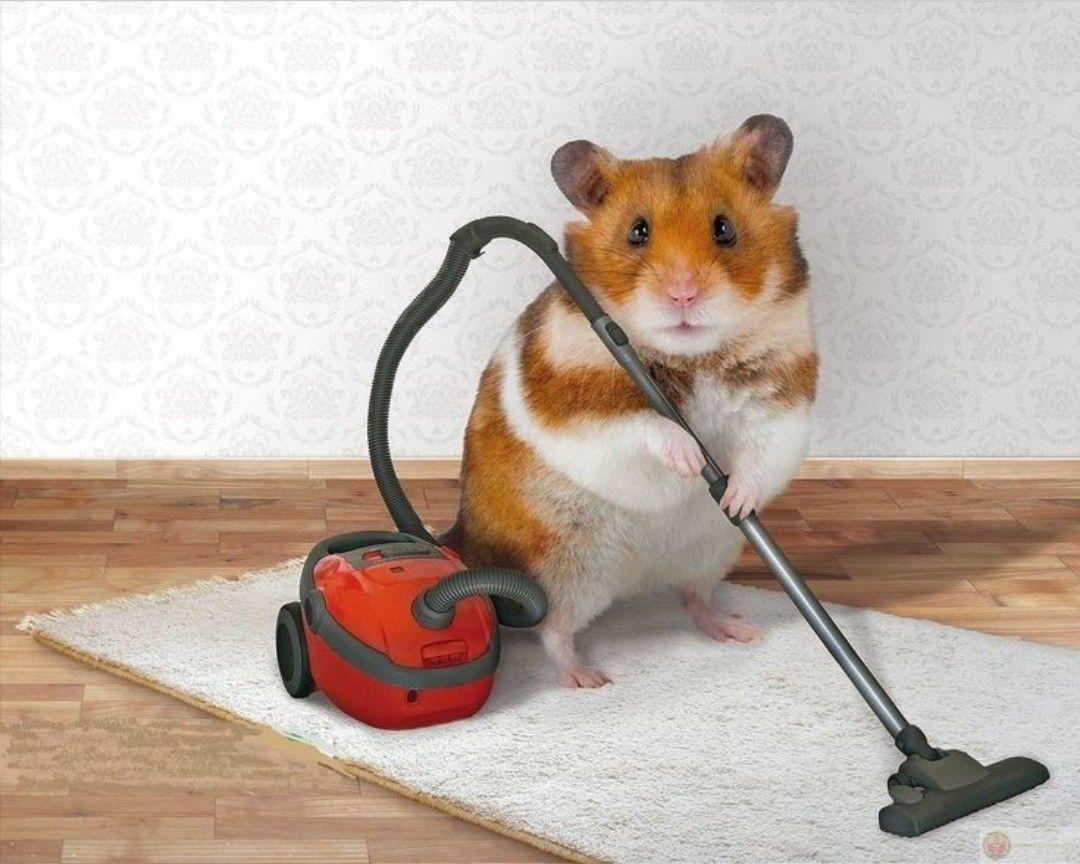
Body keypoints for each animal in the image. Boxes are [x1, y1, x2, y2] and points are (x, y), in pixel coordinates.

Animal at [443, 115, 816, 688]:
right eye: (637, 231)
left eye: (724, 228)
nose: (683, 294)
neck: (694, 357)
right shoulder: (575, 408)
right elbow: (642, 425)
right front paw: (690, 456)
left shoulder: (782, 402)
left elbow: (760, 453)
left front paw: (735, 499)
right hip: (564, 567)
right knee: (554, 630)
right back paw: (587, 679)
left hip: (711, 551)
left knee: (692, 597)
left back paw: (736, 629)